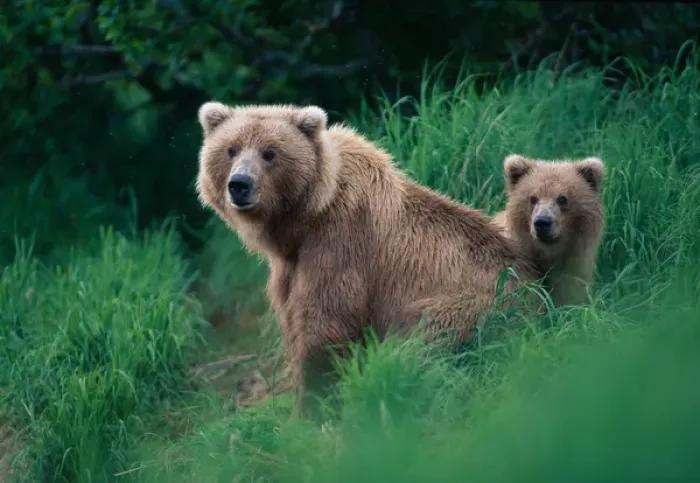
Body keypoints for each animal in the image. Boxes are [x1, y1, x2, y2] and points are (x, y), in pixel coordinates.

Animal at [195, 101, 541, 421]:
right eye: (231, 149)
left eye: (270, 152)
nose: (239, 184)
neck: (305, 218)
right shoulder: (289, 268)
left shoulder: (340, 243)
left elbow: (325, 323)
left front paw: (308, 409)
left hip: (477, 305)